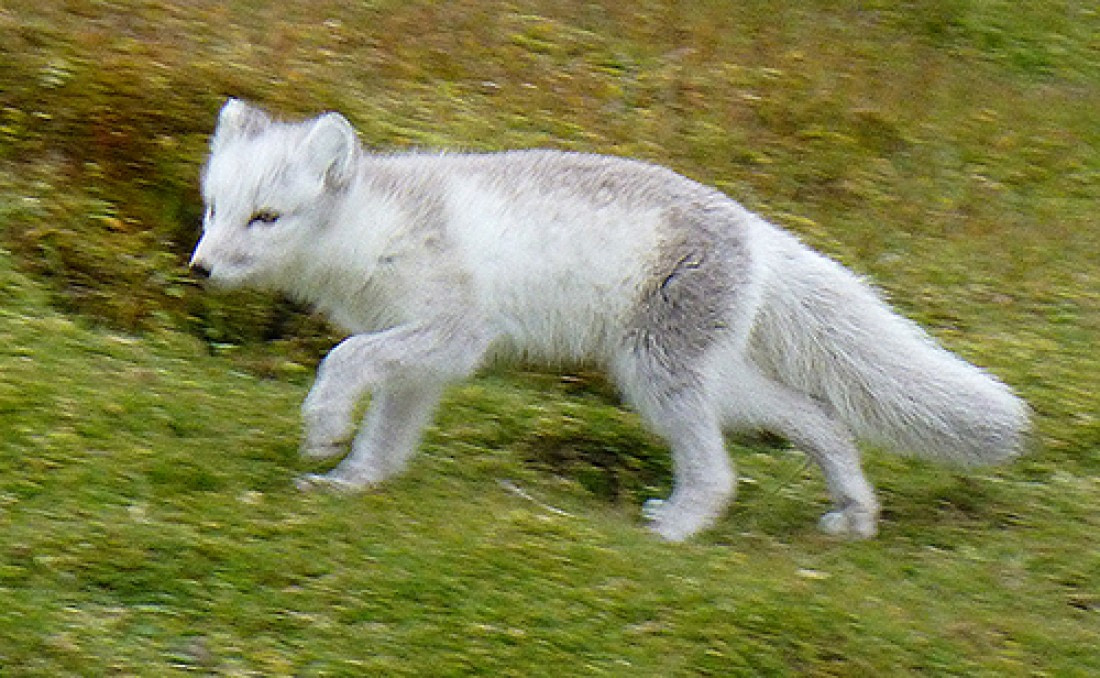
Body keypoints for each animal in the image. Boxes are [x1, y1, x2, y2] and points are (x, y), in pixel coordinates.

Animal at [190, 98, 1029, 542]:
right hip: (708, 378)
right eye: (213, 209)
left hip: (657, 375)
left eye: (266, 217)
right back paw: (852, 512)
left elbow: (344, 360)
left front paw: (323, 426)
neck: (372, 230)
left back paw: (679, 525)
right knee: (820, 417)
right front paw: (353, 480)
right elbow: (387, 434)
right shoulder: (424, 362)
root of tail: (757, 228)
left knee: (722, 471)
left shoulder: (452, 335)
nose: (198, 268)